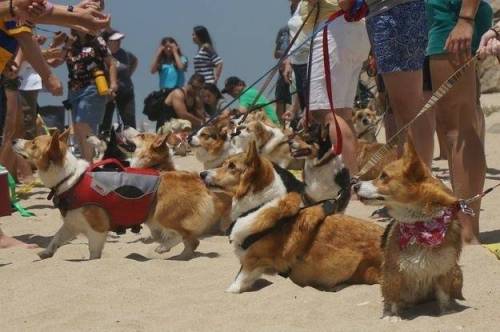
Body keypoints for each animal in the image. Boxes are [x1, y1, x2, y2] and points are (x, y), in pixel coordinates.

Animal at [13, 130, 228, 260]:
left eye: (33, 143)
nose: (14, 139)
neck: (70, 178)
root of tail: (198, 179)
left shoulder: (97, 228)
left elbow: (93, 252)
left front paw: (91, 261)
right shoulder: (72, 224)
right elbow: (56, 238)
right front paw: (46, 252)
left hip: (162, 214)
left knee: (186, 236)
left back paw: (167, 250)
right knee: (189, 240)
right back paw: (177, 253)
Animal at [201, 143, 380, 294]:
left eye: (232, 167)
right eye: (224, 163)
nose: (202, 174)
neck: (258, 205)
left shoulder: (253, 260)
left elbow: (239, 279)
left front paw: (231, 289)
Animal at [356, 139, 464, 320]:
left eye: (384, 176)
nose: (354, 185)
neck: (421, 227)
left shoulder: (445, 268)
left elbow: (443, 294)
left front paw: (446, 311)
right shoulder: (393, 271)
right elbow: (392, 297)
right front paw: (392, 316)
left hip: (457, 273)